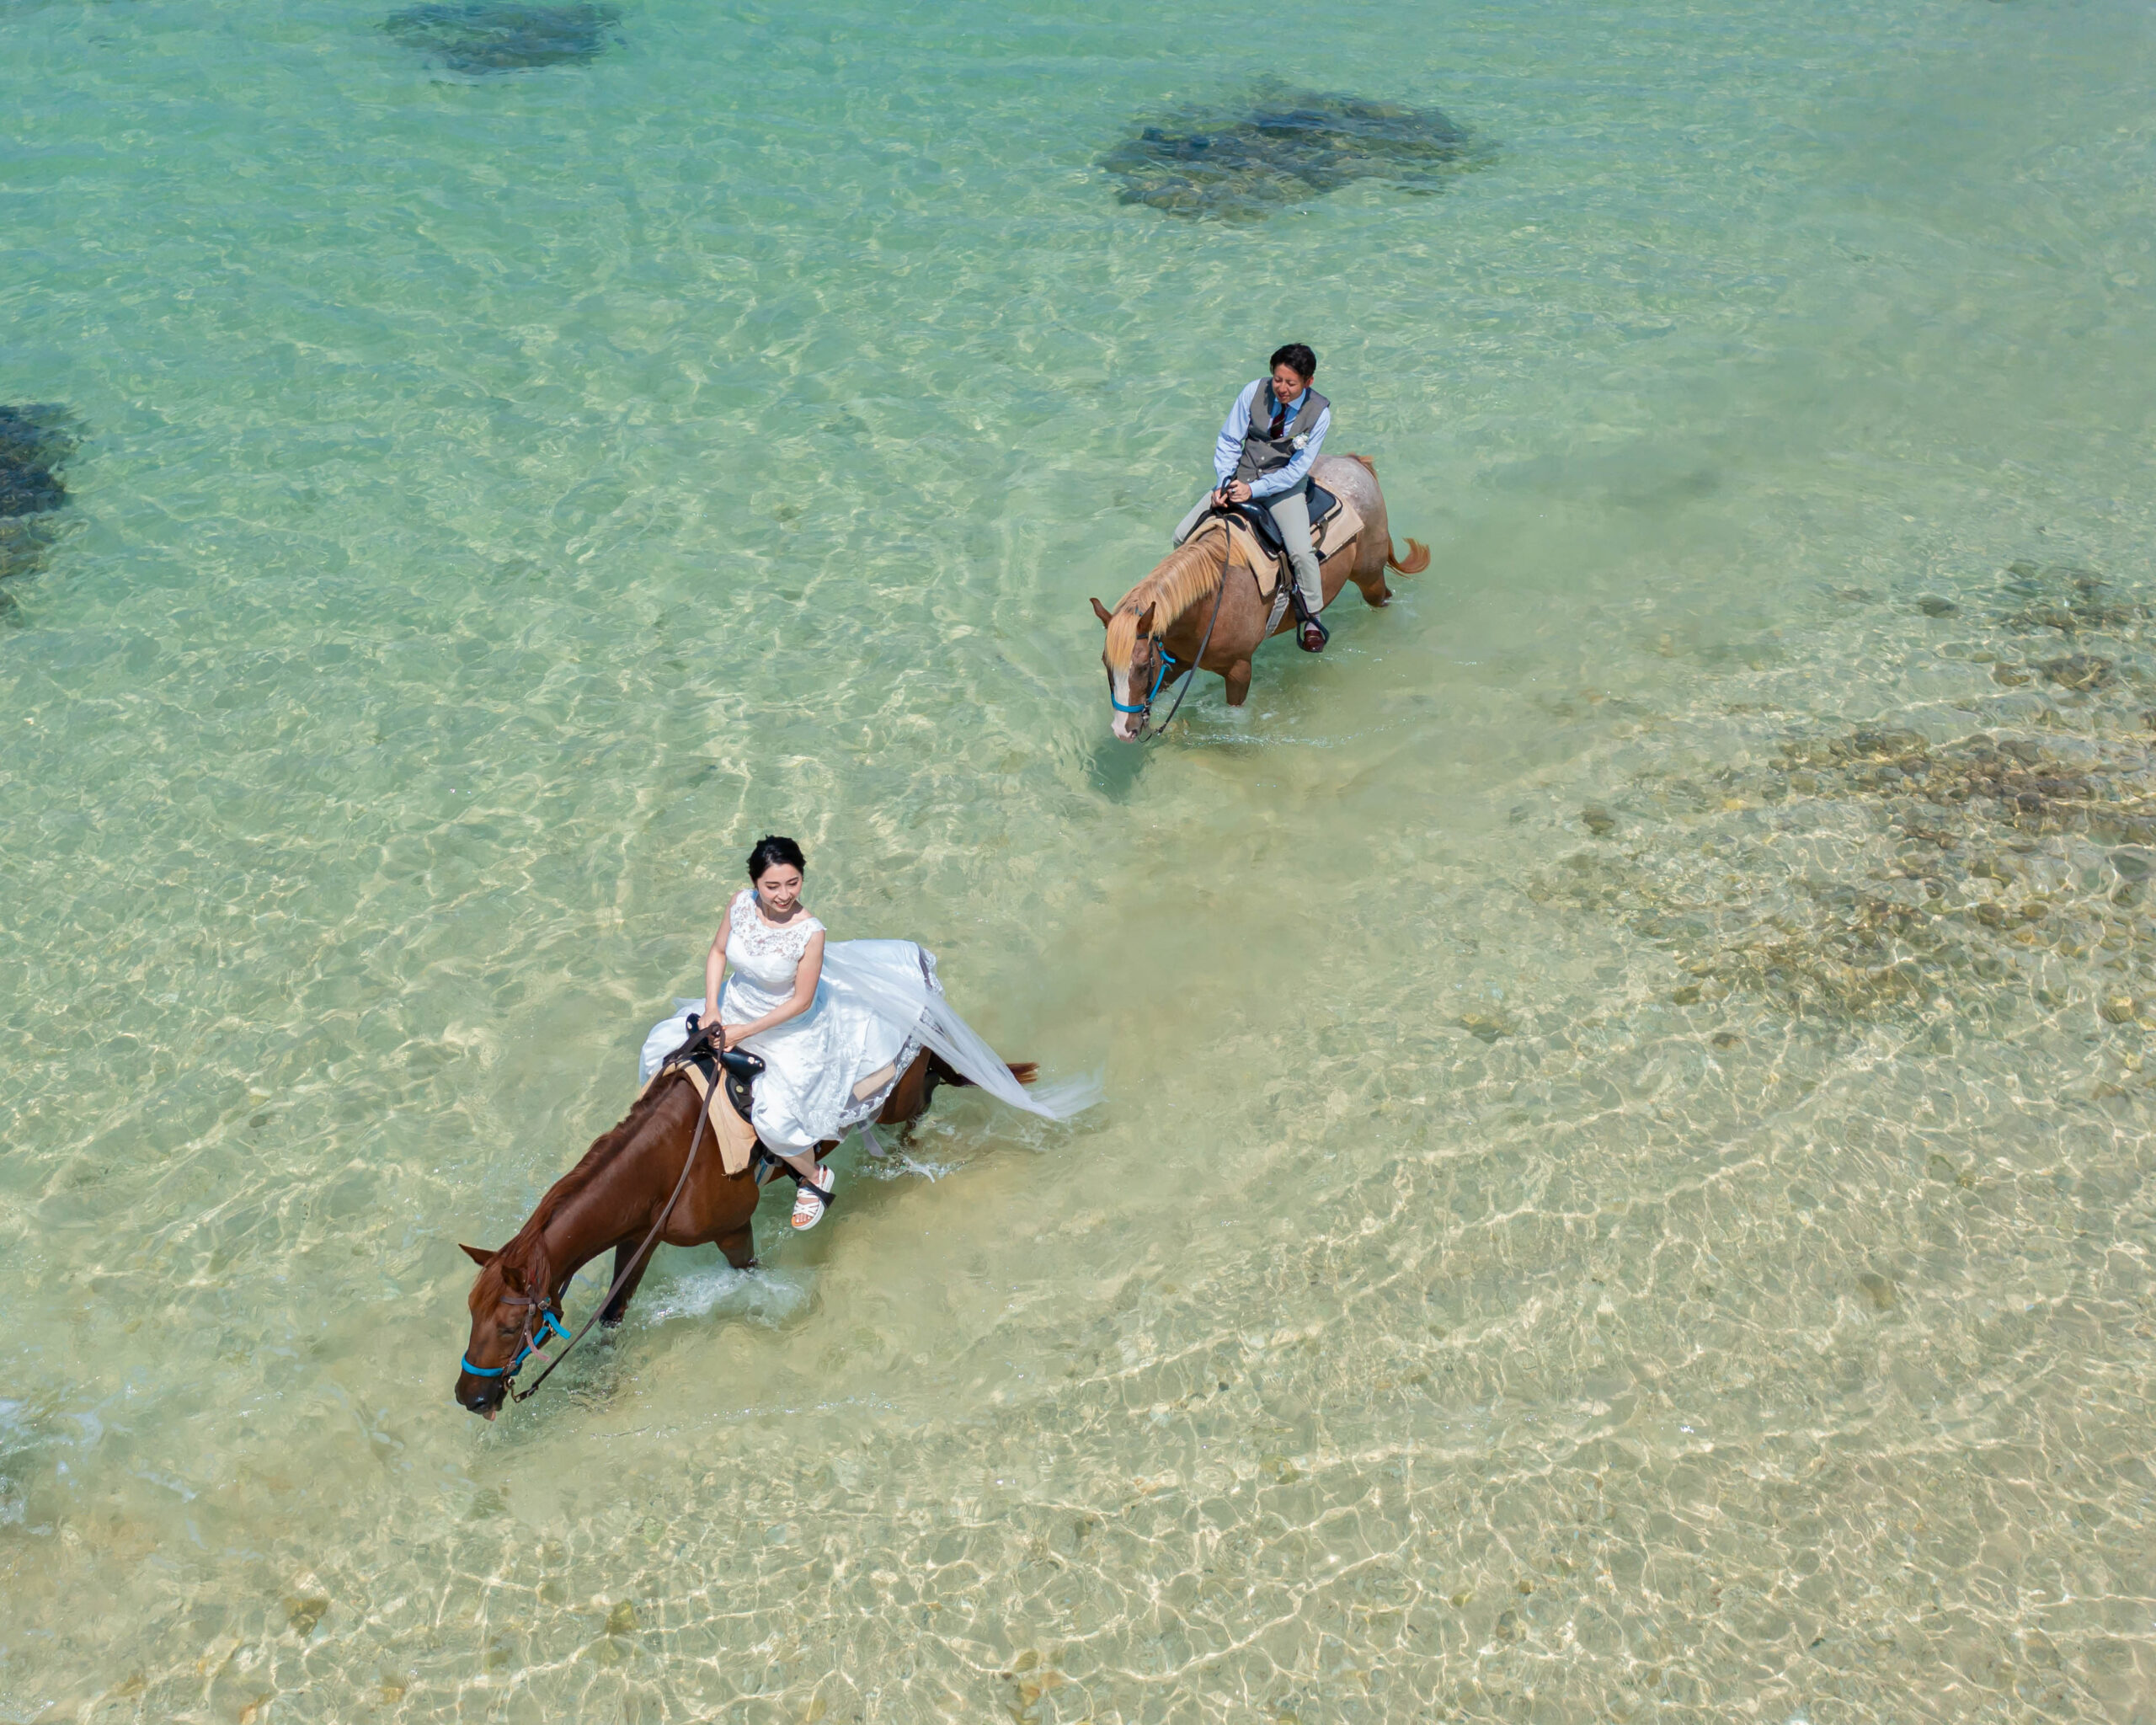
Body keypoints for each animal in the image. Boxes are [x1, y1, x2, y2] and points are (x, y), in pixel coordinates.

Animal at [453, 1043, 1035, 1418]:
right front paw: (599, 1382)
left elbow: (751, 1277)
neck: (667, 1162)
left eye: (509, 1327)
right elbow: (614, 1313)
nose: (469, 1397)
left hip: (896, 1099)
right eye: (472, 1314)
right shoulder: (638, 1239)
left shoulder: (733, 1230)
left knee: (927, 1094)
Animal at [1090, 453, 1429, 740]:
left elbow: (1235, 718)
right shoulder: (1175, 662)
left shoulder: (1239, 670)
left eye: (1143, 666)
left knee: (1384, 600)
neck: (1209, 604)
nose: (1123, 731)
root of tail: (1354, 462)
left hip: (1370, 577)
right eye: (1107, 664)